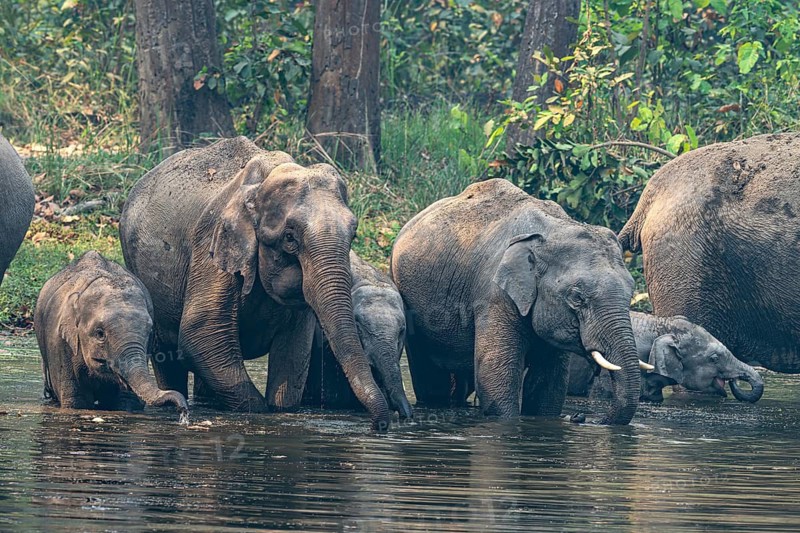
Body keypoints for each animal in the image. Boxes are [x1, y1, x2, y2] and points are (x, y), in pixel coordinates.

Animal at [35, 251, 188, 414]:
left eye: (150, 332)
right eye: (100, 334)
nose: (183, 409)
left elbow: (126, 401)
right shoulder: (59, 343)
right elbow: (78, 401)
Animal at [120, 136, 391, 429]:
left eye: (353, 234)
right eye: (289, 238)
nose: (379, 425)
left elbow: (293, 352)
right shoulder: (213, 243)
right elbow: (201, 334)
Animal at [390, 178, 643, 425]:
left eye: (631, 292)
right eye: (577, 298)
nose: (581, 418)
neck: (554, 229)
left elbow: (548, 386)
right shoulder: (494, 295)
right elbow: (495, 378)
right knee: (431, 380)